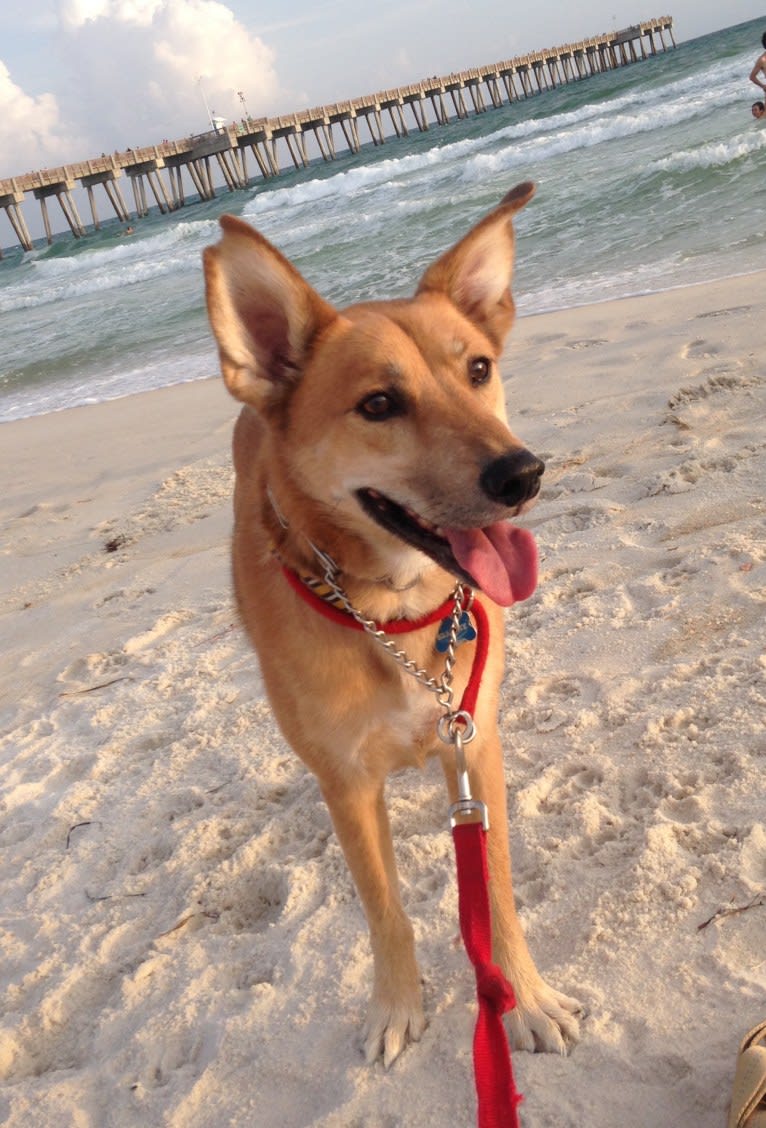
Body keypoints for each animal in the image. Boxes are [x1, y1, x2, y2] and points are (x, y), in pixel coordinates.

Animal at [204, 182, 582, 1064]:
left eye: (478, 368)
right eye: (379, 404)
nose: (523, 474)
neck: (396, 616)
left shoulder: (475, 743)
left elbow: (497, 894)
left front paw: (527, 996)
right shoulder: (347, 785)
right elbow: (385, 911)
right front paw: (397, 1004)